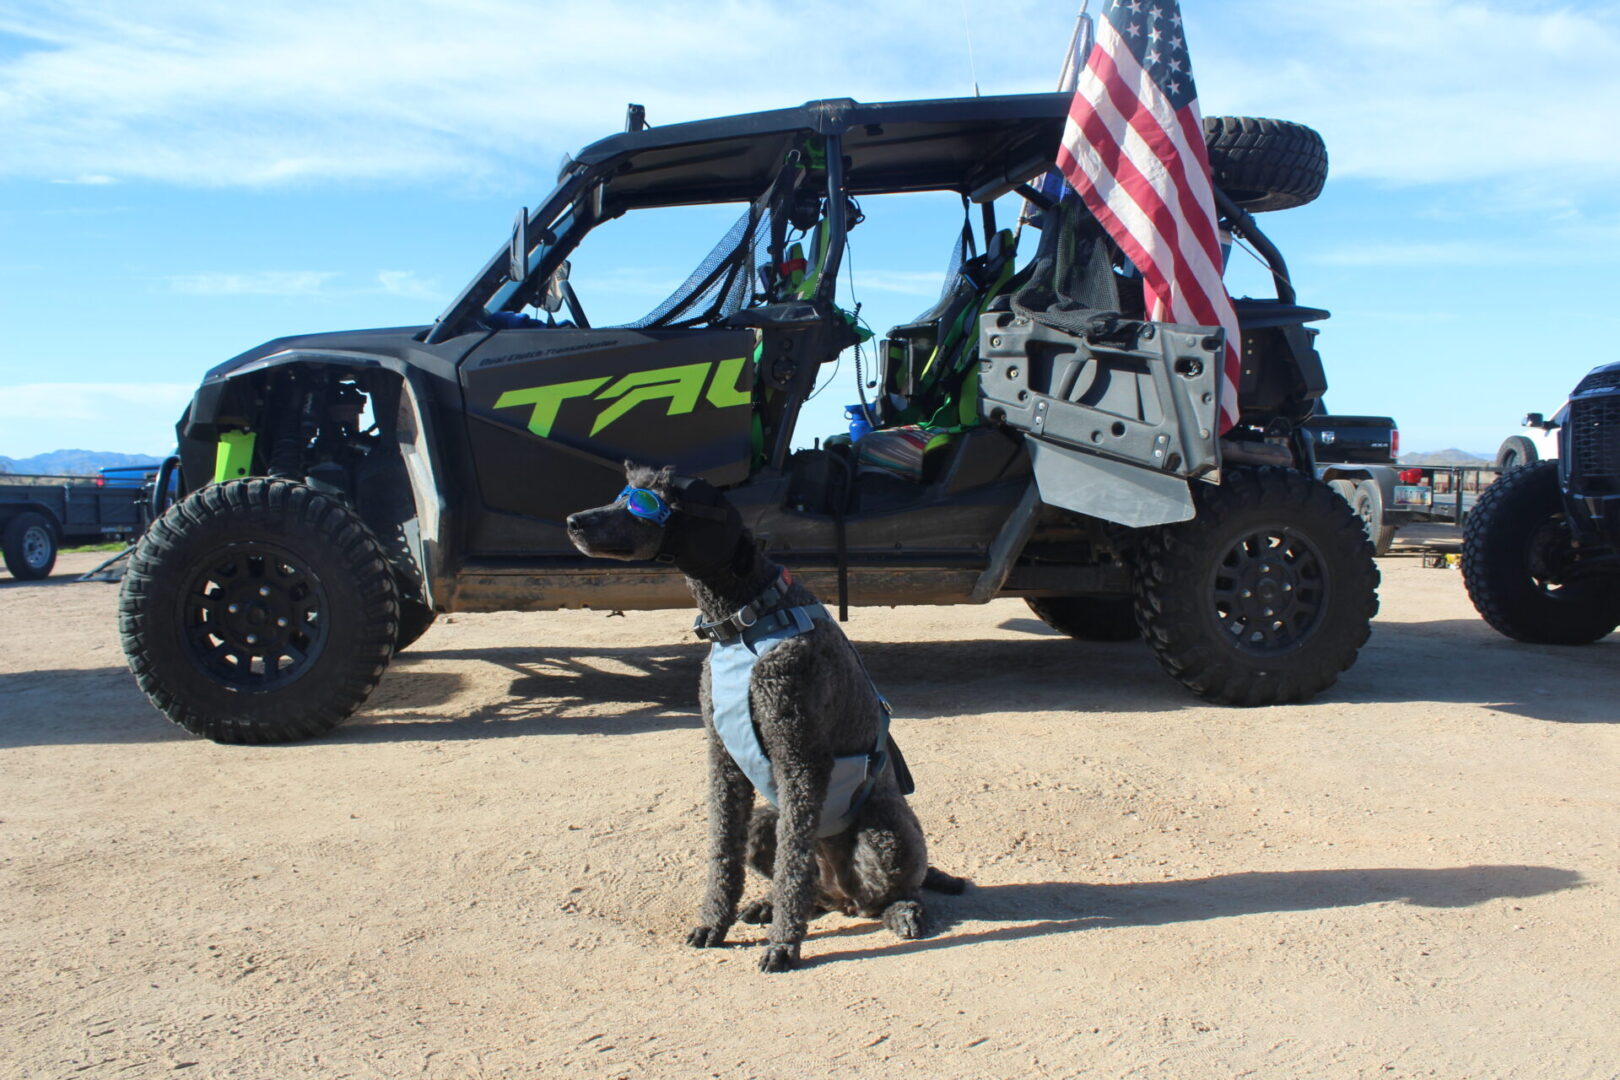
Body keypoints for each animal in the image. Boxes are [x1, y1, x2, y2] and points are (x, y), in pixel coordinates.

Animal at [567, 463, 959, 971]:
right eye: (621, 495)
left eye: (645, 503)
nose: (573, 521)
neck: (745, 618)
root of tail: (844, 894)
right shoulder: (723, 760)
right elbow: (724, 853)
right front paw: (714, 923)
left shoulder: (800, 758)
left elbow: (793, 862)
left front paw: (783, 946)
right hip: (765, 823)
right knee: (816, 890)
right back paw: (769, 905)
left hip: (883, 831)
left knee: (883, 891)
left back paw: (900, 912)